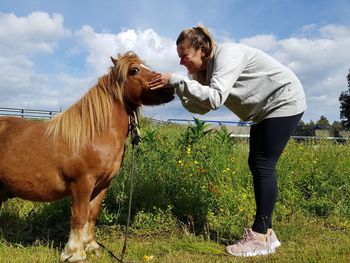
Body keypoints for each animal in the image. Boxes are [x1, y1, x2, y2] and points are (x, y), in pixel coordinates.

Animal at [0, 52, 174, 263]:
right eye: (134, 70)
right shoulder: (83, 183)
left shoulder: (102, 185)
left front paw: (90, 246)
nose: (171, 87)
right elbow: (80, 216)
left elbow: (92, 215)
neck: (95, 134)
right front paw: (74, 253)